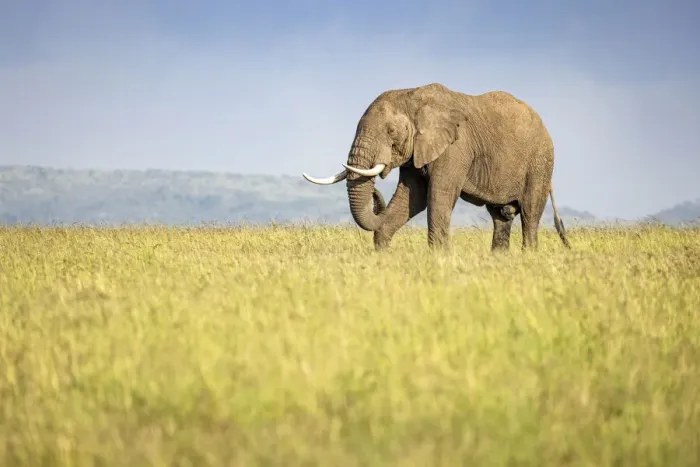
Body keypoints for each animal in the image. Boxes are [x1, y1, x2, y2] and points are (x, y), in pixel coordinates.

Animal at [302, 82, 571, 252]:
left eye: (391, 131)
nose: (376, 193)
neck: (410, 95)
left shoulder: (455, 148)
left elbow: (438, 195)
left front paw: (440, 257)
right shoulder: (416, 151)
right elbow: (413, 198)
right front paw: (383, 254)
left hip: (540, 162)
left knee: (530, 214)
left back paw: (528, 255)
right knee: (501, 218)